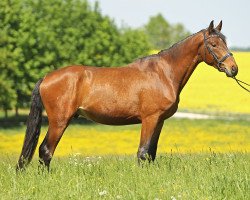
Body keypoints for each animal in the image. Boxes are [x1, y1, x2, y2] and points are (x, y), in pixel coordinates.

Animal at [16, 20, 237, 170]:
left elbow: (151, 154)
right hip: (59, 122)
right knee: (46, 150)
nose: (233, 69)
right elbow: (142, 152)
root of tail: (46, 77)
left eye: (225, 42)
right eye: (214, 44)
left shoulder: (159, 121)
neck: (163, 73)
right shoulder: (149, 119)